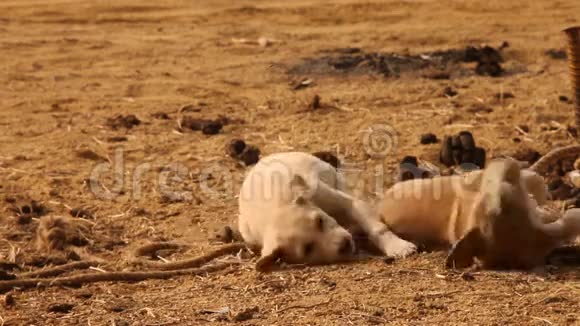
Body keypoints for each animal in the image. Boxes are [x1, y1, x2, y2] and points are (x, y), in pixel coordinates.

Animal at [238, 152, 420, 272]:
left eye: (320, 221)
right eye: (308, 249)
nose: (345, 244)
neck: (271, 212)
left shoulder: (350, 203)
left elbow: (377, 228)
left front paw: (398, 246)